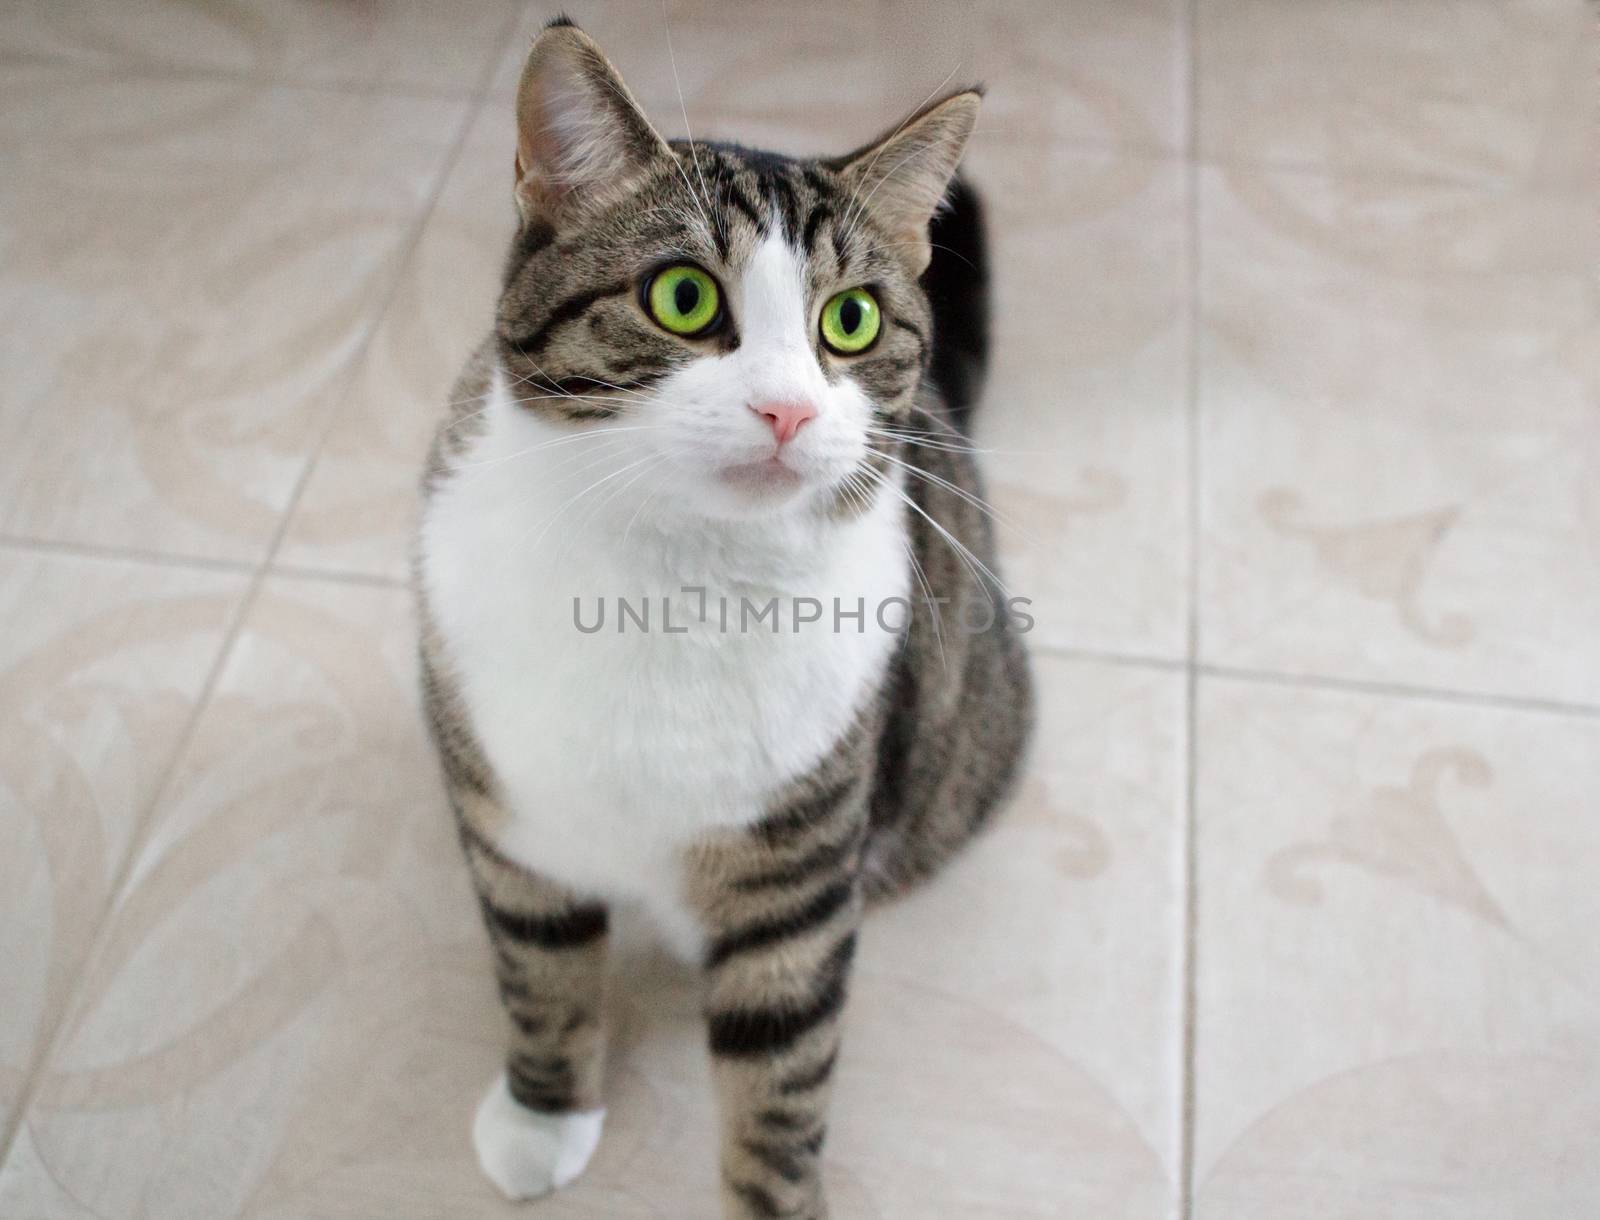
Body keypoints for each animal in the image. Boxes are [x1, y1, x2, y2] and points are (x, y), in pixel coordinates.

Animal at [412, 19, 1030, 1216]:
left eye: (850, 320)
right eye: (685, 299)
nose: (786, 408)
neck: (672, 576)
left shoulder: (795, 875)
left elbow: (780, 1077)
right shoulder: (509, 815)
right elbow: (537, 965)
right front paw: (541, 1114)